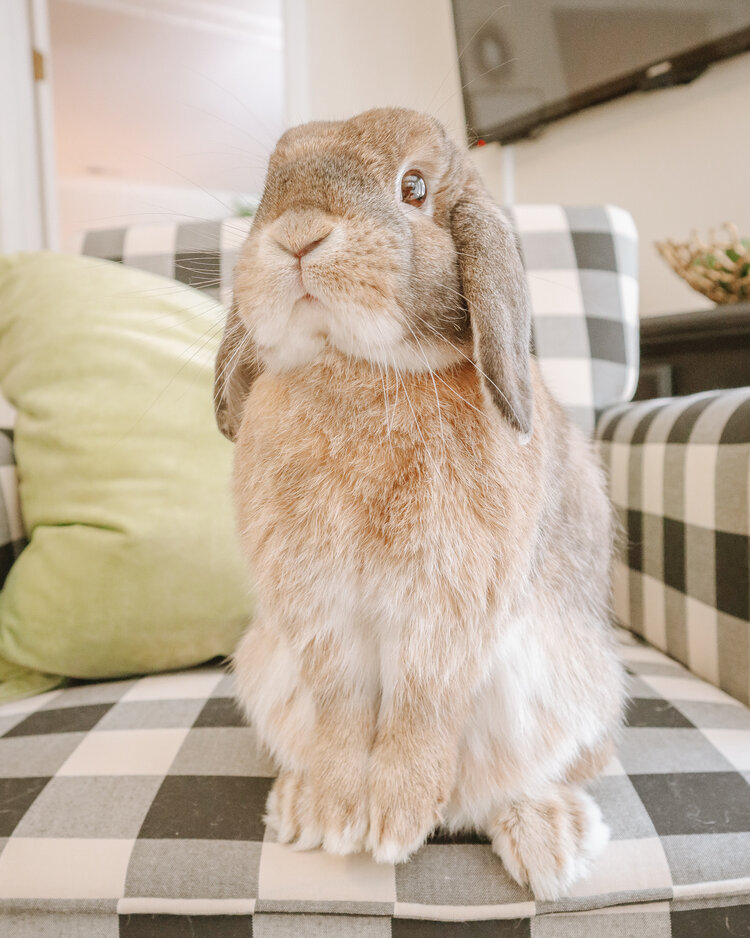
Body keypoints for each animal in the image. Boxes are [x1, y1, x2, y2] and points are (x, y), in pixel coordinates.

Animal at [214, 107, 626, 901]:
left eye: (414, 188)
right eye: (273, 181)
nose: (297, 233)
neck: (357, 365)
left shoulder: (447, 607)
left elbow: (421, 704)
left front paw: (395, 824)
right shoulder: (318, 613)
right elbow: (341, 703)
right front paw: (340, 814)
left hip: (574, 700)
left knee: (530, 780)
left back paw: (548, 841)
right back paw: (300, 805)